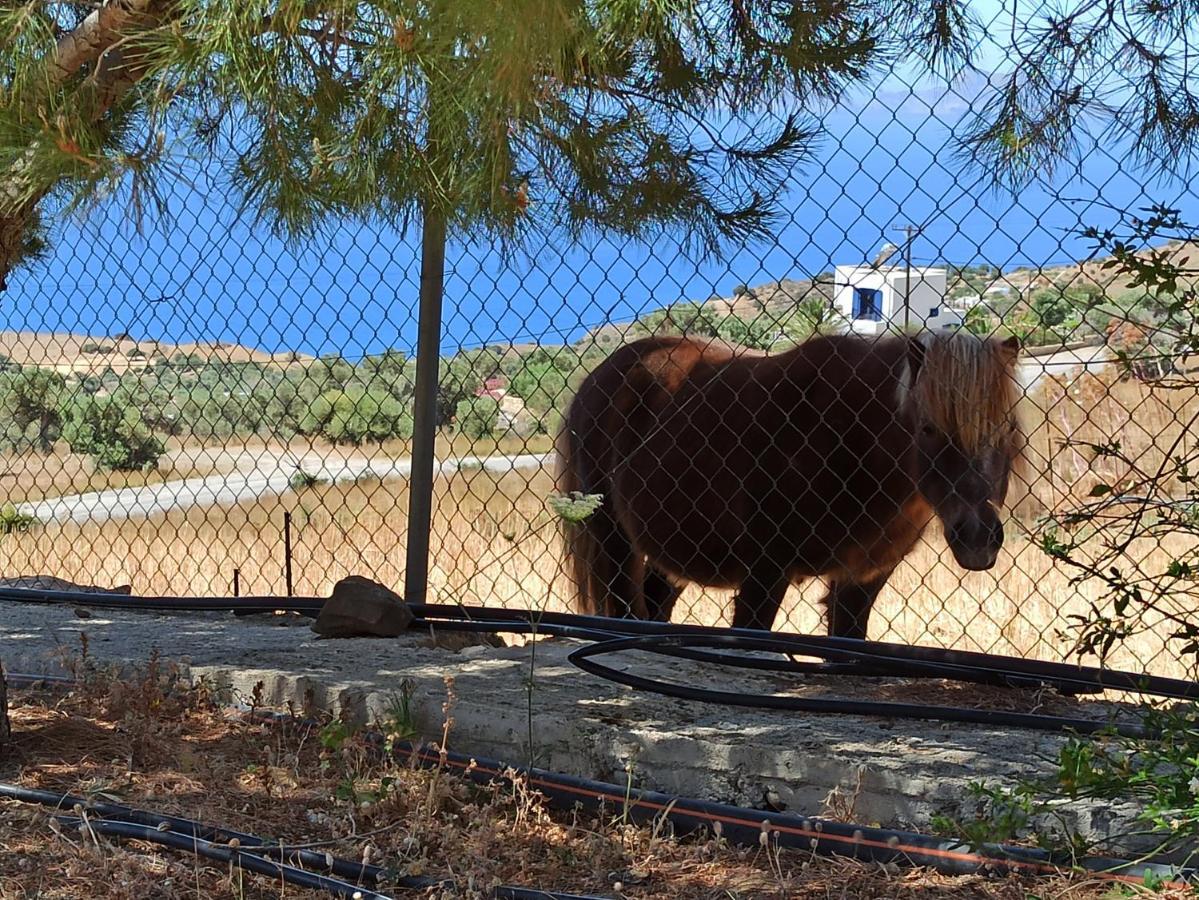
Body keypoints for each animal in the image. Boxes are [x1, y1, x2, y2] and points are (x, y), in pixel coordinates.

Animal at [556, 333, 1026, 642]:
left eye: (1006, 428)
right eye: (928, 427)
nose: (978, 538)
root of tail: (597, 378)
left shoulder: (862, 579)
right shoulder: (766, 571)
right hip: (615, 545)